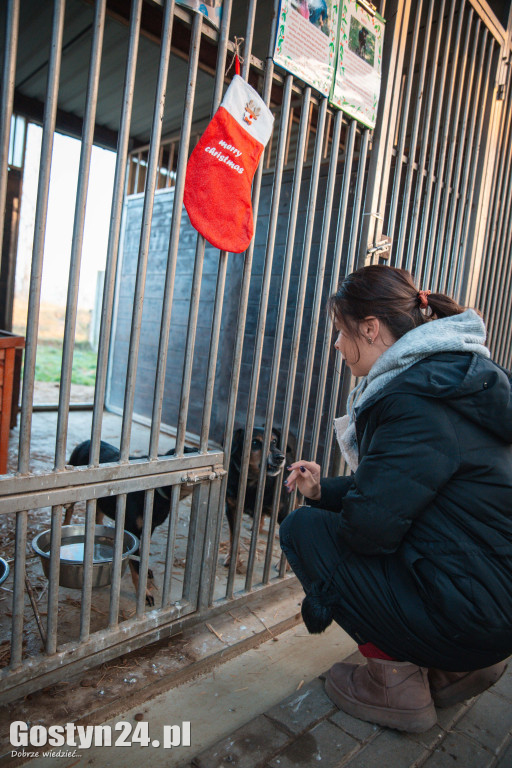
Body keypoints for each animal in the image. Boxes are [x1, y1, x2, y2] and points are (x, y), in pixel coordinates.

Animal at [67, 440, 195, 604]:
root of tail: (86, 442)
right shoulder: (132, 530)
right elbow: (135, 564)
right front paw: (144, 593)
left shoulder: (149, 528)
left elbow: (142, 554)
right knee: (68, 511)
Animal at [225, 426, 294, 568]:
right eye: (255, 442)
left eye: (274, 441)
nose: (280, 457)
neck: (254, 482)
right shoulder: (231, 509)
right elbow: (233, 536)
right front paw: (232, 558)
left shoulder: (283, 512)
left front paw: (284, 565)